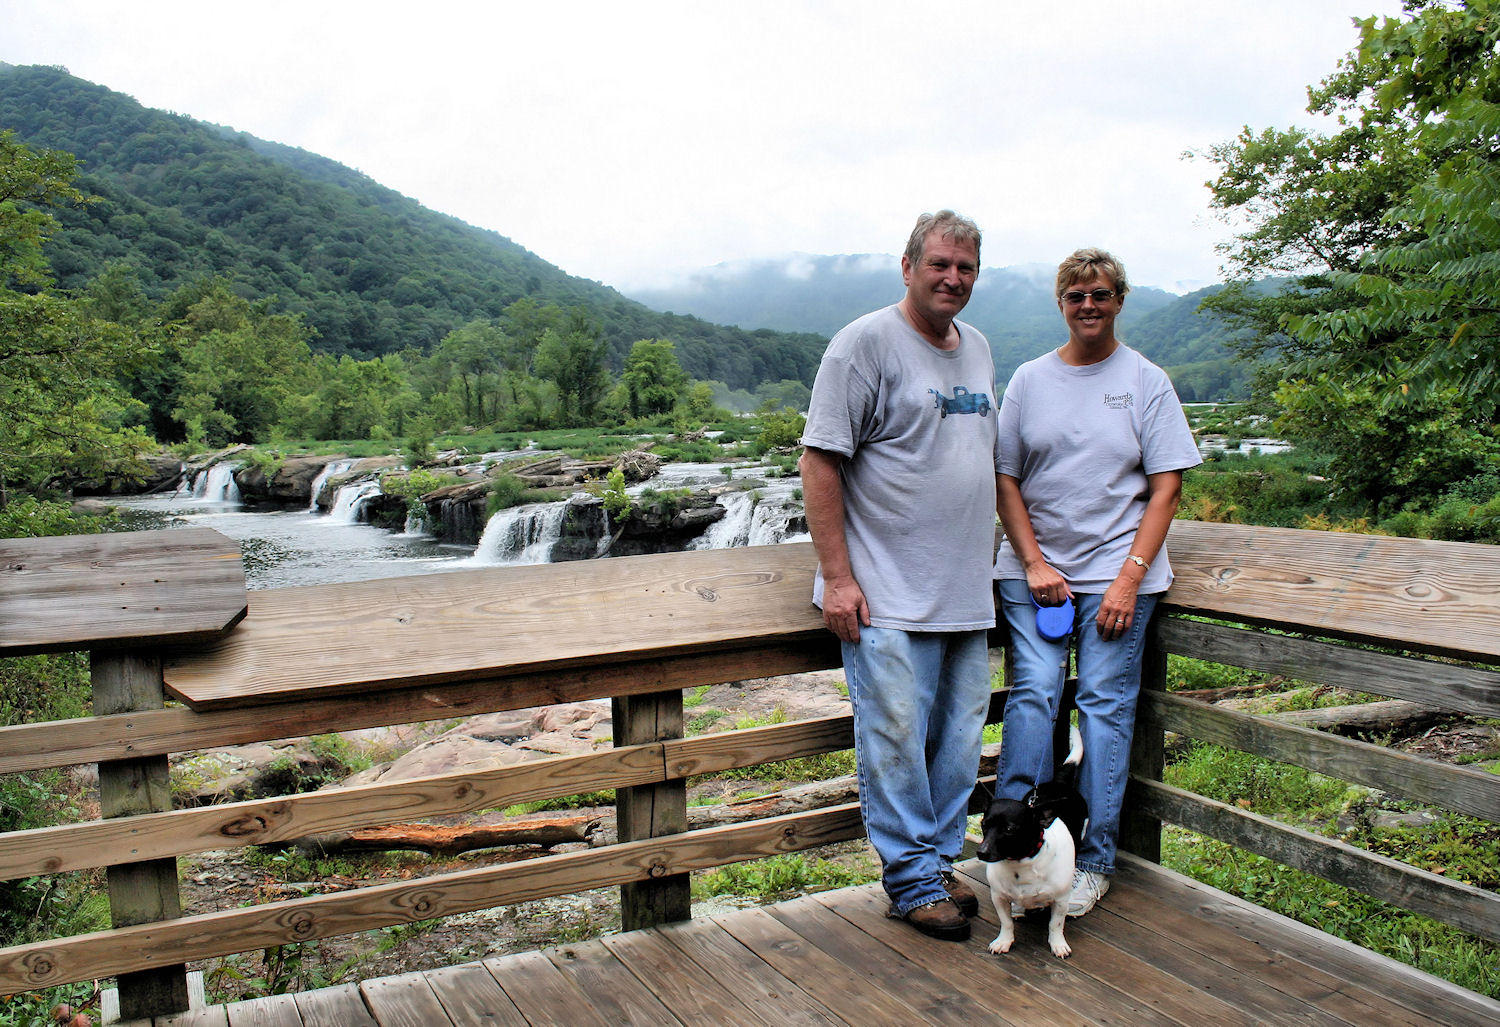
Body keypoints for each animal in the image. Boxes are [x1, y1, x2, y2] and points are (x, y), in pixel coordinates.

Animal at [978, 725, 1086, 959]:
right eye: (983, 824)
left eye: (1009, 829)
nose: (981, 852)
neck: (1021, 864)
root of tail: (1058, 783)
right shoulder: (999, 897)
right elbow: (1006, 922)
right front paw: (1004, 941)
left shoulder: (1060, 901)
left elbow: (1055, 924)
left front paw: (1058, 944)